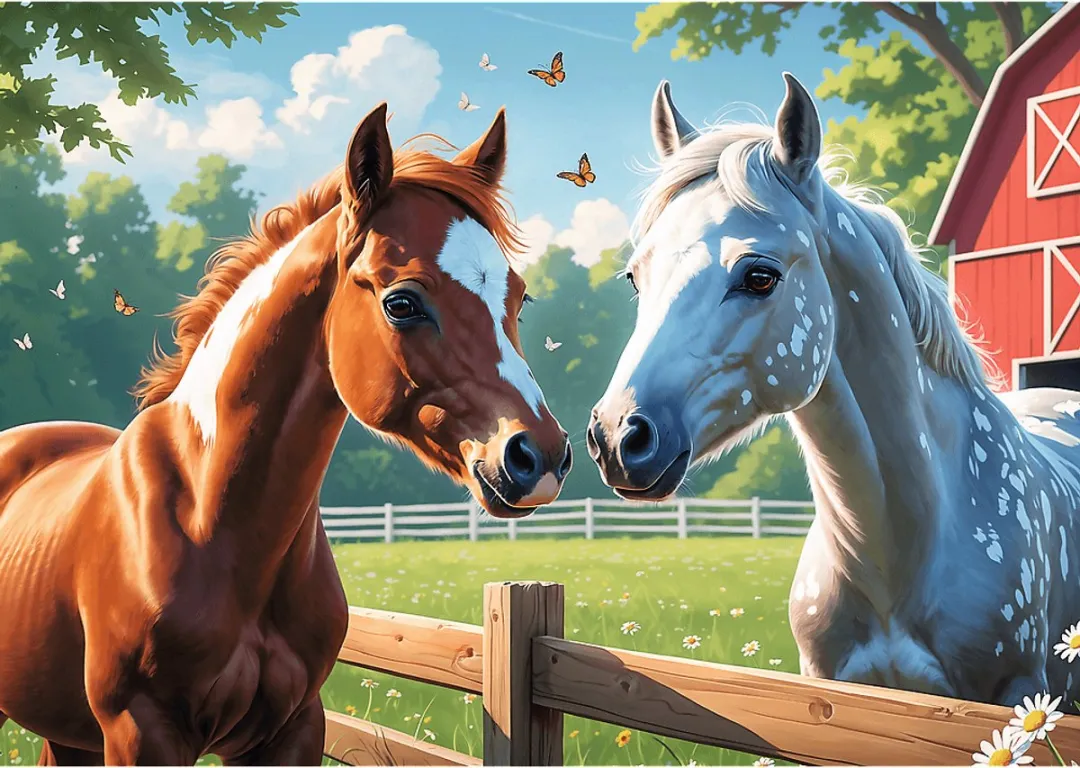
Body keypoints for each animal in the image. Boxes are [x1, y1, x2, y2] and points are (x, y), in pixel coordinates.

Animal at [0, 103, 571, 765]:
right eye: (402, 303)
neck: (212, 520)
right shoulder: (141, 734)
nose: (538, 457)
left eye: (518, 298)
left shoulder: (293, 726)